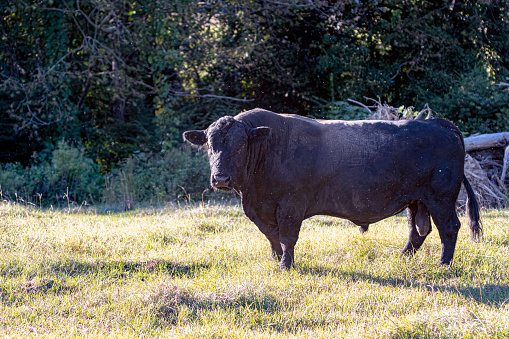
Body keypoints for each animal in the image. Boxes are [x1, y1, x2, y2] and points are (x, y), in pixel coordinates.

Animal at [184, 107, 480, 270]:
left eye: (240, 145)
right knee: (418, 230)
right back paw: (402, 257)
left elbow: (287, 238)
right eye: (210, 146)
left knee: (448, 228)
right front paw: (276, 260)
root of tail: (437, 122)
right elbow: (272, 238)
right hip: (416, 200)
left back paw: (443, 264)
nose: (221, 179)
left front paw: (286, 266)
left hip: (441, 198)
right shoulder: (261, 210)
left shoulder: (291, 206)